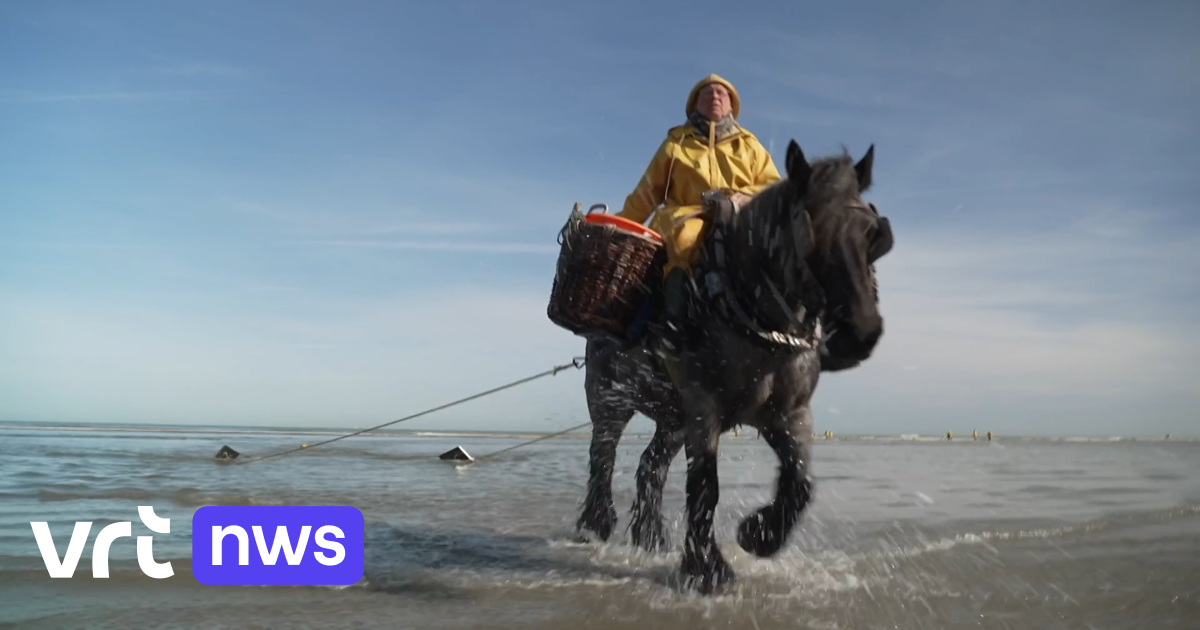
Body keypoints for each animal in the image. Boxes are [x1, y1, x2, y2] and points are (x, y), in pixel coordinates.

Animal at [574, 139, 894, 594]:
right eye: (810, 227)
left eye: (872, 232)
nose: (861, 331)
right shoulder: (704, 408)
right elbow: (705, 487)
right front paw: (706, 568)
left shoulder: (788, 414)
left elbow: (800, 485)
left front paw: (759, 534)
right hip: (610, 398)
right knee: (602, 456)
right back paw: (595, 523)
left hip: (673, 418)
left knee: (650, 467)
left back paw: (650, 536)